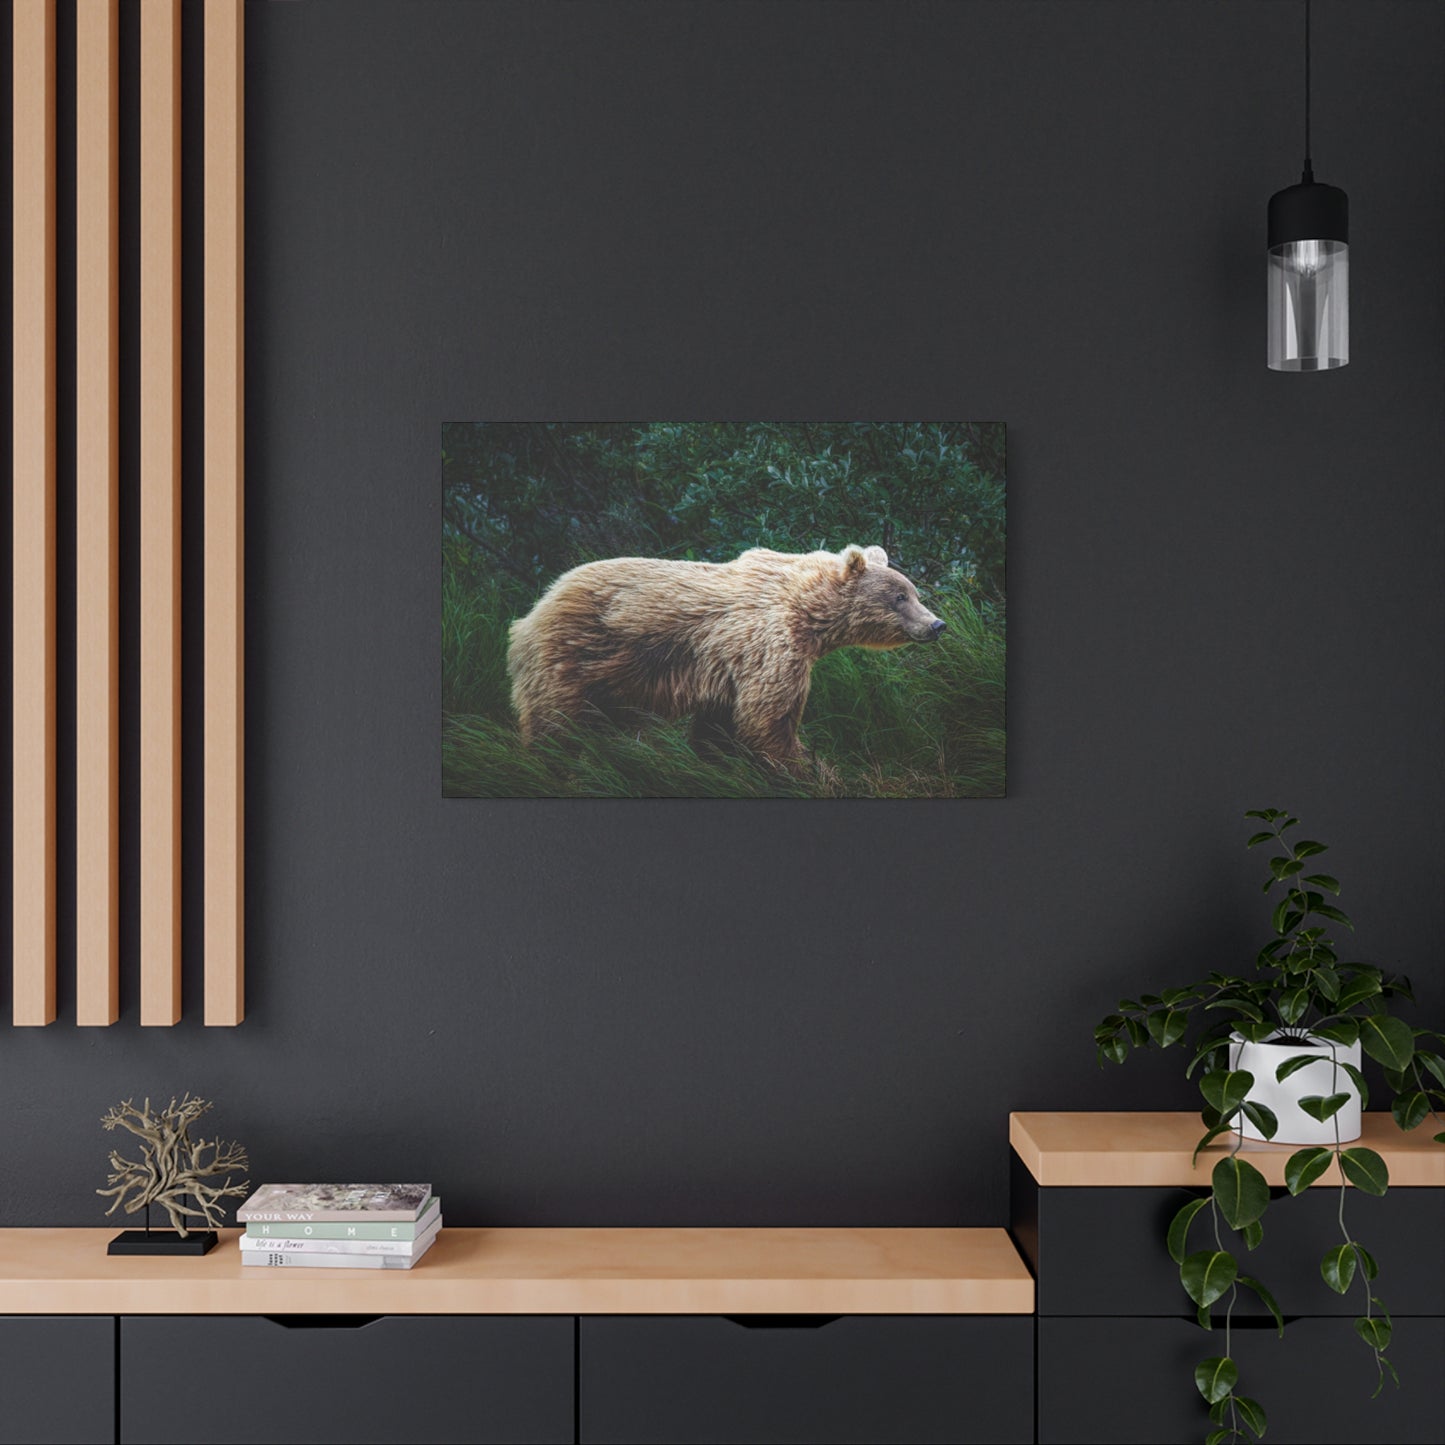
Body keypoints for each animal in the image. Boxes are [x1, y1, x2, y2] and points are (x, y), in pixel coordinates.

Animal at [506, 543, 945, 770]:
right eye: (899, 596)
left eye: (913, 591)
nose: (936, 624)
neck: (809, 615)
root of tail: (533, 610)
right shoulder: (770, 646)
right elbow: (769, 718)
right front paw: (805, 765)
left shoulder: (726, 670)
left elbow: (720, 725)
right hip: (574, 655)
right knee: (555, 723)